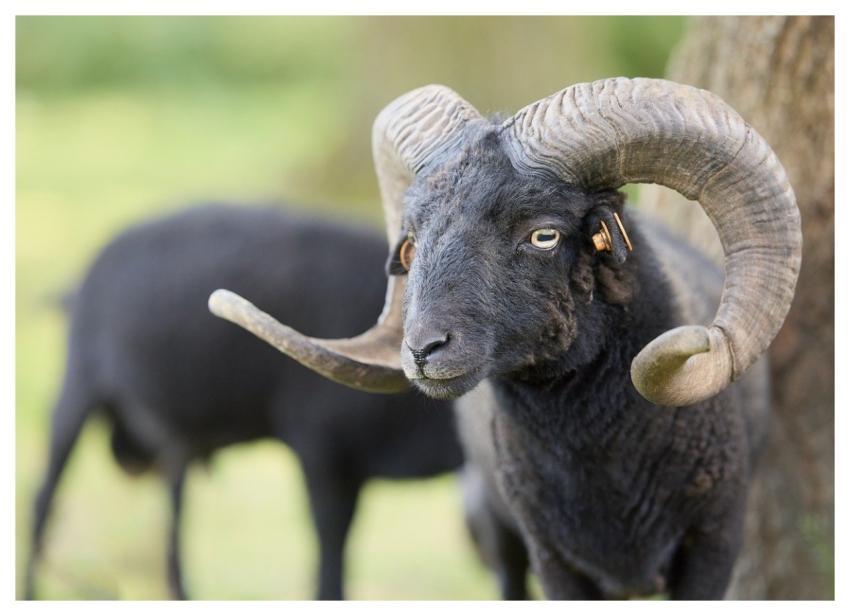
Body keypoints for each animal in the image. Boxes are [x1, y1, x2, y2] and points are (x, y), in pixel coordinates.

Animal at [24, 204, 530, 600]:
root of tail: (77, 284)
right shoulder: (321, 453)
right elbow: (329, 569)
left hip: (172, 443)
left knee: (172, 522)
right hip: (78, 387)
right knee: (43, 501)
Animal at [209, 78, 802, 600]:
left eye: (544, 235)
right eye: (411, 242)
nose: (424, 350)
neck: (607, 464)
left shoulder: (714, 545)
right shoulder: (553, 559)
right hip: (496, 530)